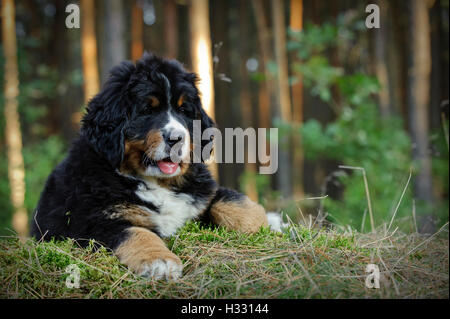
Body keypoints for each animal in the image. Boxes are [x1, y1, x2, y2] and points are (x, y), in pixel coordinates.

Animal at [31, 52, 270, 280]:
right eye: (147, 110)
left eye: (184, 111)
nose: (176, 138)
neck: (157, 183)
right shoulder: (96, 221)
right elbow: (138, 233)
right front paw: (160, 262)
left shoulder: (202, 193)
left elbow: (235, 203)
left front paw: (268, 224)